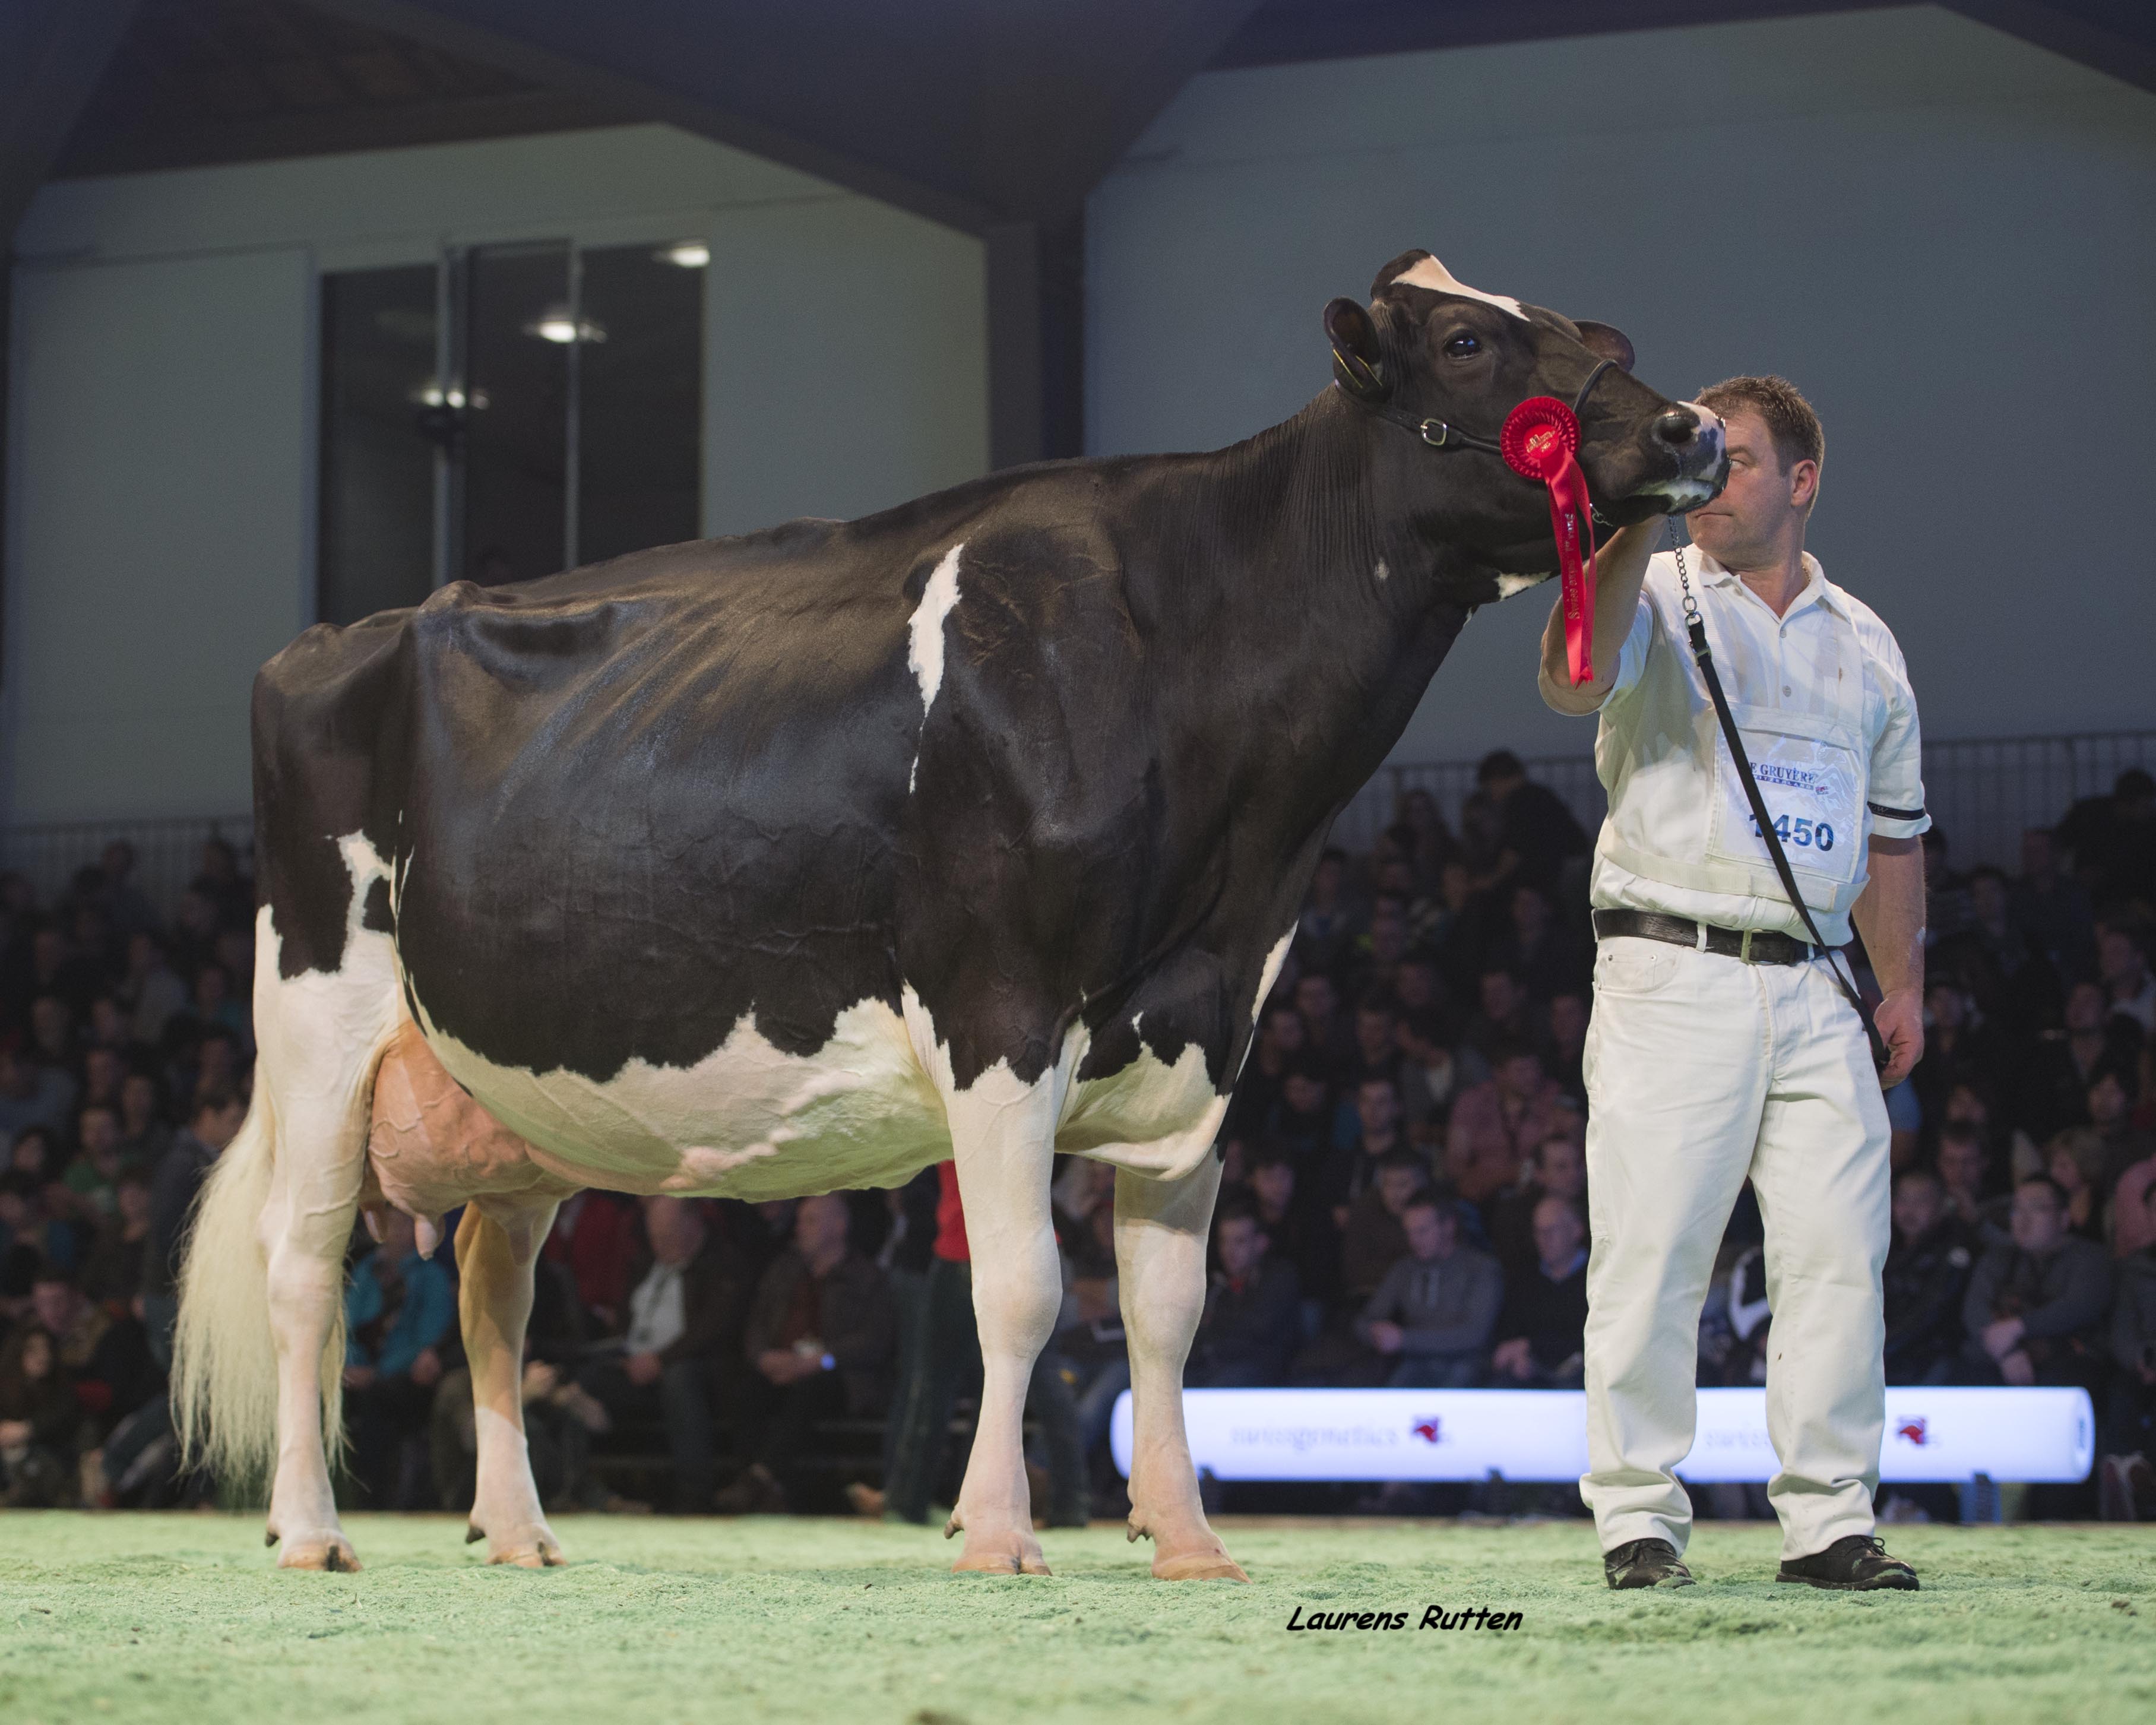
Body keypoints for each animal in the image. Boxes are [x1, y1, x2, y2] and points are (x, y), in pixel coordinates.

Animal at [173, 247, 1725, 1579]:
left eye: (1589, 334)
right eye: (1466, 344)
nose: (1692, 430)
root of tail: (351, 630)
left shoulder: (1207, 1035)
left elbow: (1165, 1317)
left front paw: (1187, 1540)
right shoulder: (1000, 1008)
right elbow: (1025, 1290)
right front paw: (998, 1533)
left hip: (518, 1089)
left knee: (492, 1295)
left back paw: (516, 1530)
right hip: (317, 1022)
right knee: (302, 1269)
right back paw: (310, 1530)